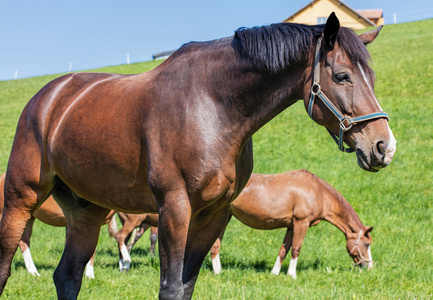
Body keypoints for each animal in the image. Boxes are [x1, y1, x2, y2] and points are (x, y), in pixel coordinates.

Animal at [208, 170, 372, 278]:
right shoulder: (301, 222)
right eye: (366, 244)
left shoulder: (291, 226)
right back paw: (218, 272)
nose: (369, 266)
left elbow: (284, 250)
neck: (318, 192)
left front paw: (275, 273)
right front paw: (292, 275)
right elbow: (296, 249)